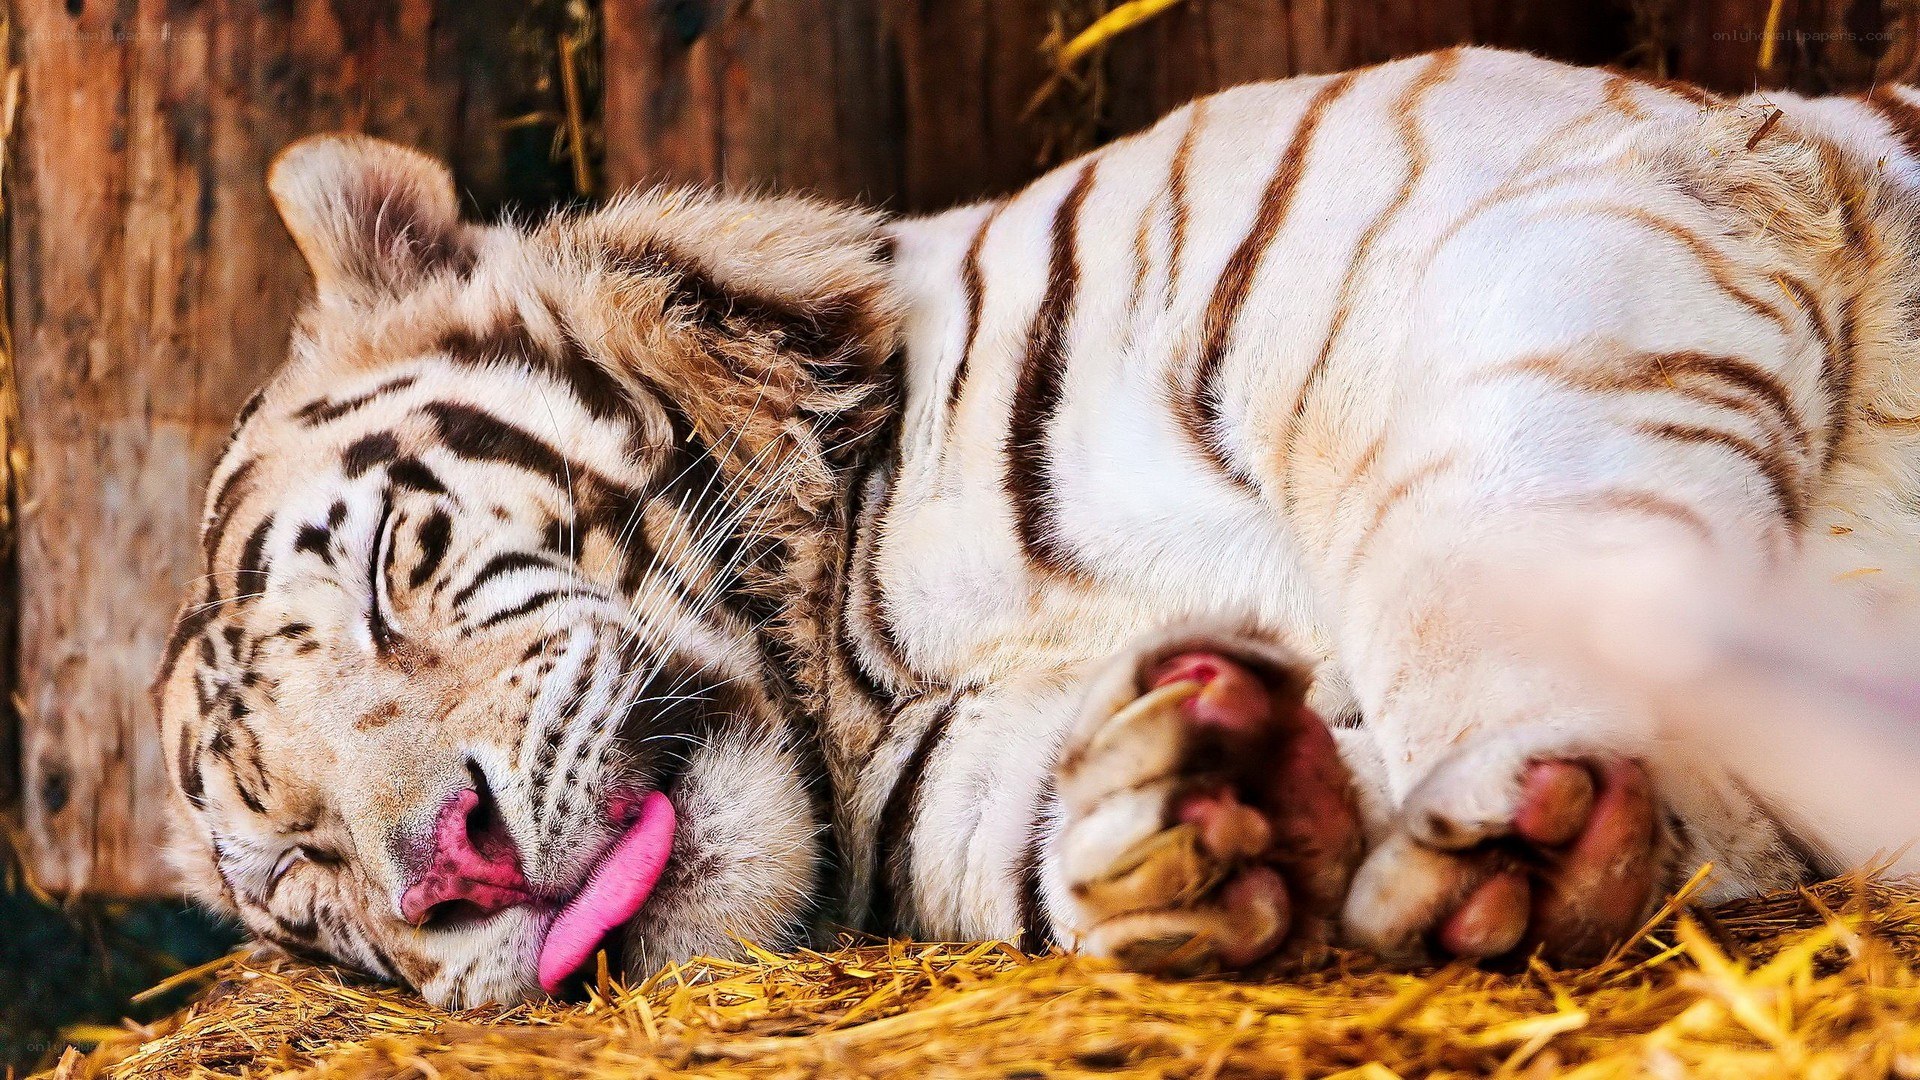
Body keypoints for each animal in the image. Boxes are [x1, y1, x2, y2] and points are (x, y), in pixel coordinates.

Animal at [154, 45, 1920, 1008]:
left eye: (387, 574)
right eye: (299, 870)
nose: (454, 871)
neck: (844, 642)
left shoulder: (1521, 205)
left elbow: (1482, 540)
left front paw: (1503, 816)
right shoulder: (953, 782)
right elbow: (1035, 831)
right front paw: (1216, 805)